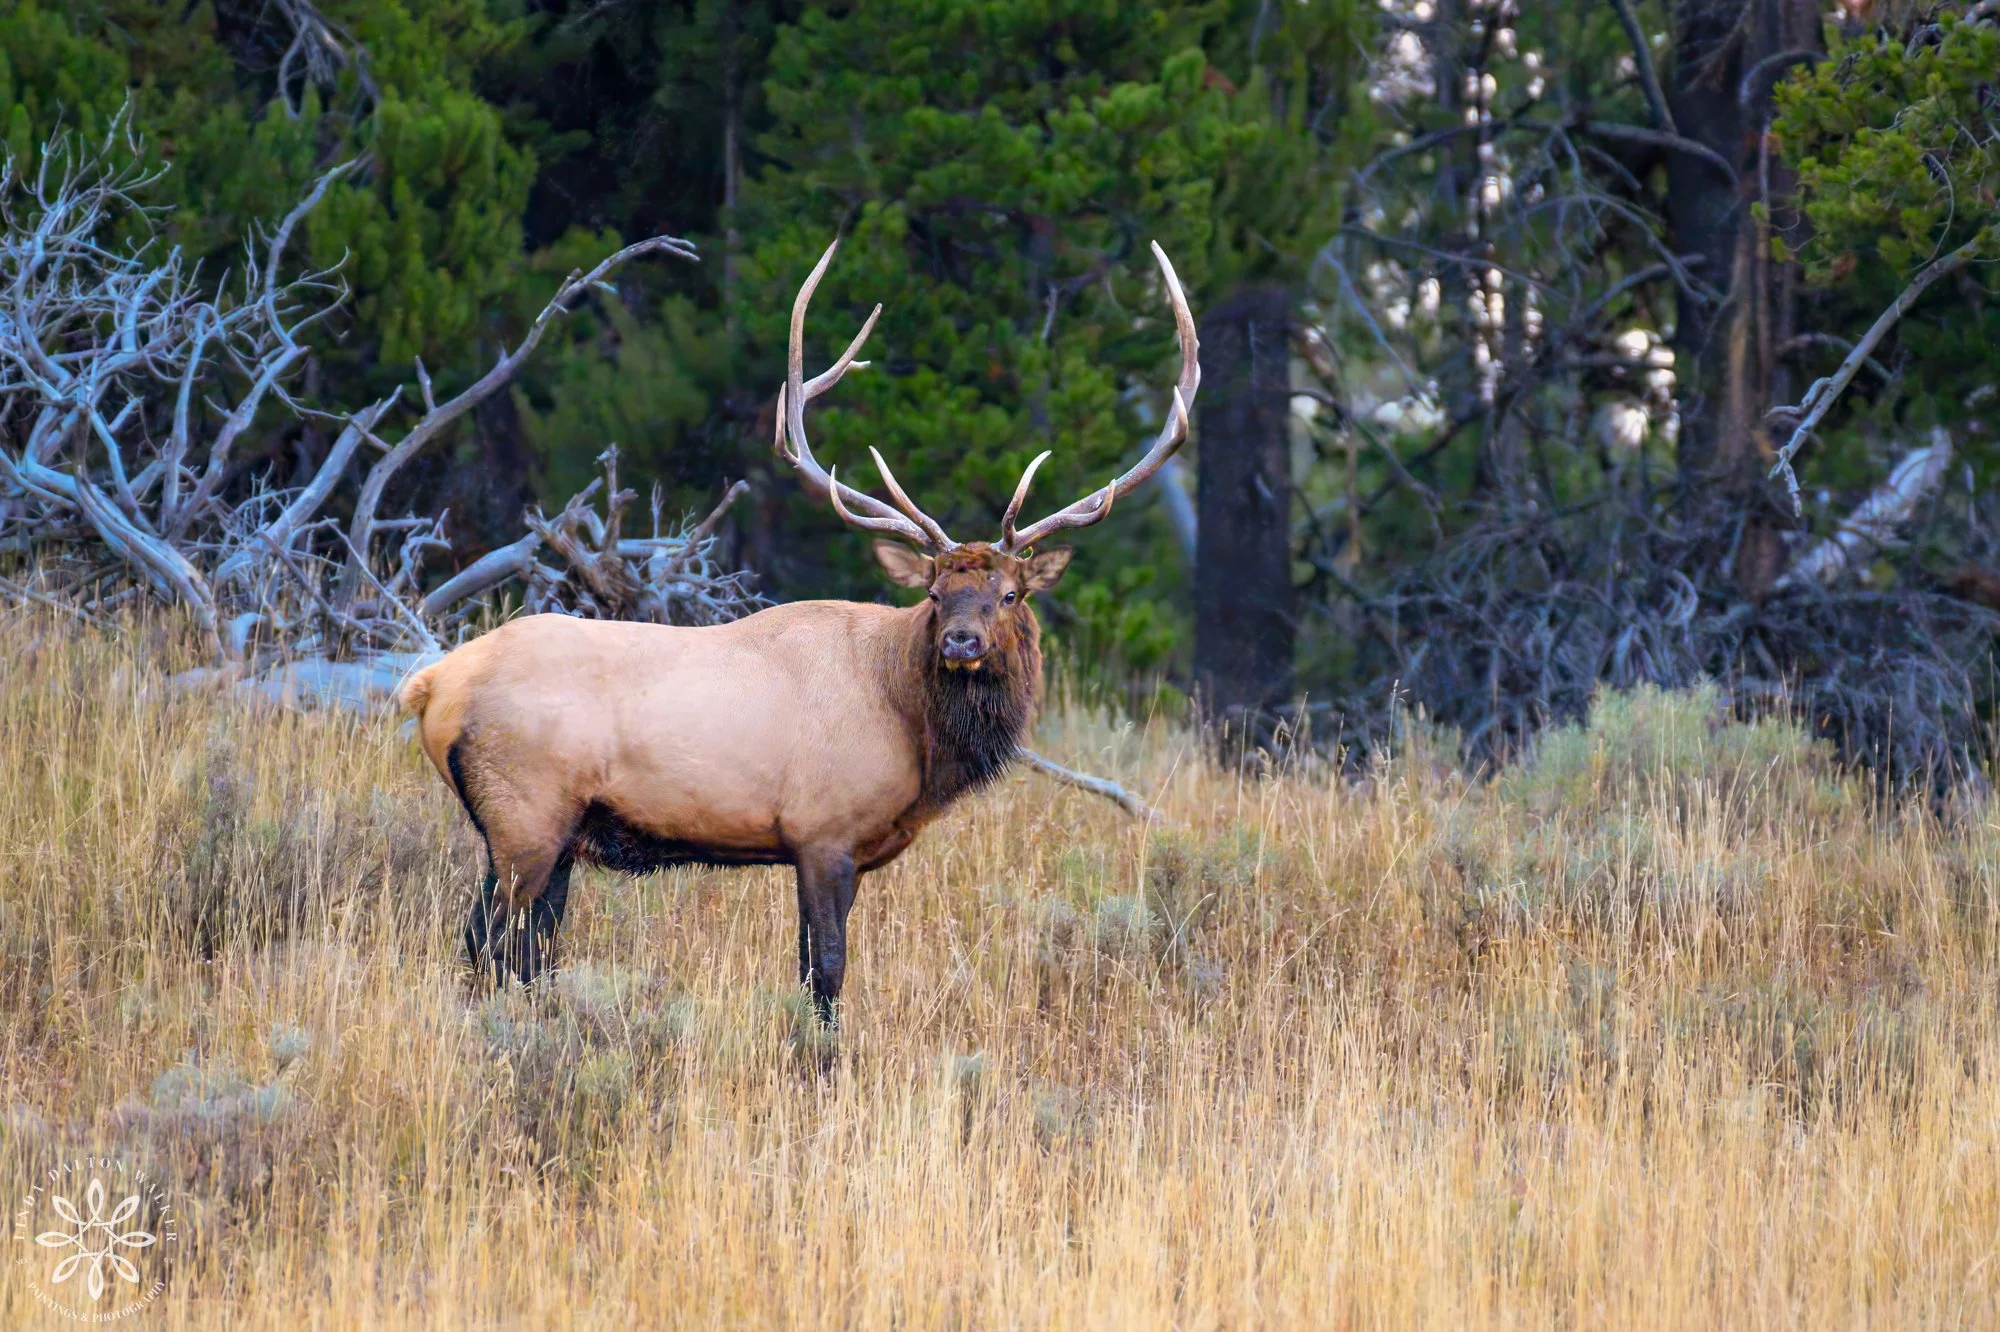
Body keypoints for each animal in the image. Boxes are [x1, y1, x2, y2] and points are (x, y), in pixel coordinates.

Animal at [399, 237, 1199, 1023]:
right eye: (936, 593)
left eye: (1008, 594)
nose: (960, 643)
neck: (914, 729)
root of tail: (430, 684)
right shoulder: (823, 832)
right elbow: (826, 976)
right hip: (525, 816)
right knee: (488, 943)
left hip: (549, 834)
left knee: (519, 950)